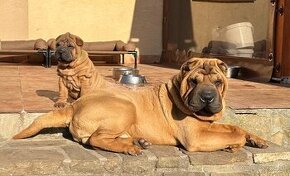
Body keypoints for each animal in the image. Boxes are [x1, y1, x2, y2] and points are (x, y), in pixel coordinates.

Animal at [13, 57, 268, 154]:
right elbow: (235, 132)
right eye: (194, 81)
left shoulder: (210, 126)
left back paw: (138, 142)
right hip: (125, 107)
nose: (207, 97)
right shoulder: (196, 136)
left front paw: (257, 139)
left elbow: (236, 127)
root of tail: (74, 105)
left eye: (217, 82)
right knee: (96, 139)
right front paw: (235, 144)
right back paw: (131, 148)